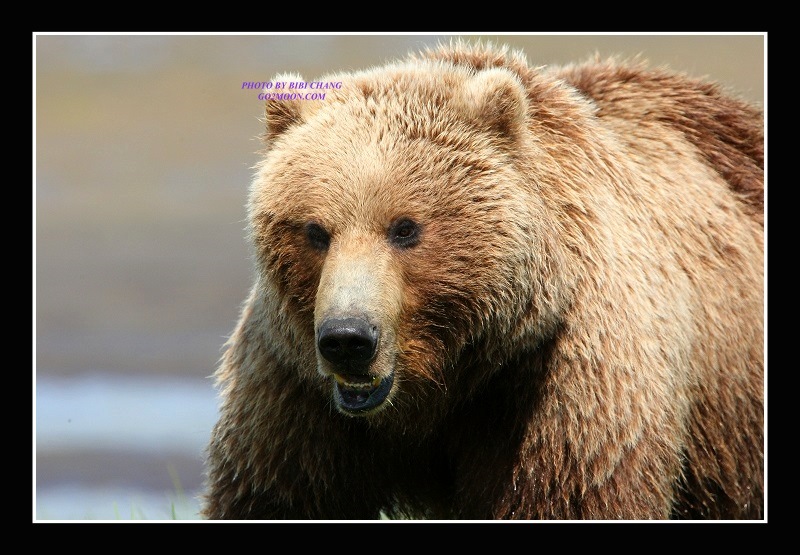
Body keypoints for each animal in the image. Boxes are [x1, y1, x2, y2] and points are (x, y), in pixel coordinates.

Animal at [202, 41, 764, 520]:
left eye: (405, 228)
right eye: (316, 230)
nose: (348, 339)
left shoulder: (560, 384)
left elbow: (568, 496)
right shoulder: (294, 394)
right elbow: (273, 497)